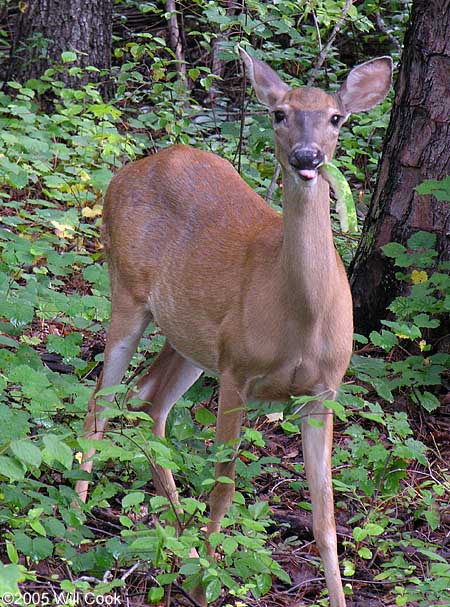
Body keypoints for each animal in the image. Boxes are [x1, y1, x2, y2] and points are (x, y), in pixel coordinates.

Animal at [75, 48, 392, 607]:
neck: (300, 319)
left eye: (336, 117)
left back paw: (181, 541)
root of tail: (126, 171)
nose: (307, 157)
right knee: (101, 402)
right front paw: (204, 590)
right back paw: (75, 522)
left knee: (147, 399)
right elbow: (224, 490)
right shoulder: (238, 371)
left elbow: (326, 518)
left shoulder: (325, 390)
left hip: (192, 339)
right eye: (279, 113)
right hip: (127, 292)